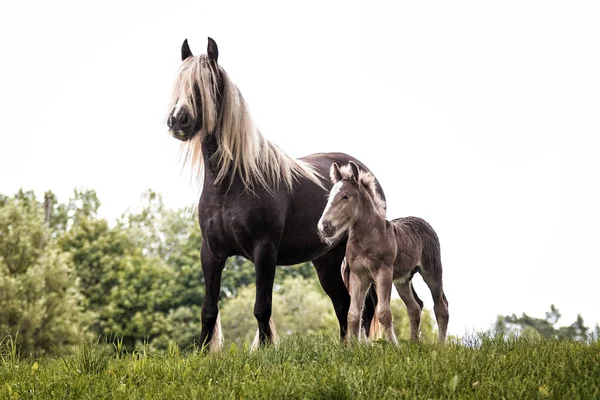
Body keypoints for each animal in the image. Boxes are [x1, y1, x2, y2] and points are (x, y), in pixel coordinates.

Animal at [166, 37, 386, 350]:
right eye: (179, 83)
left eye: (205, 82)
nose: (178, 120)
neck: (230, 184)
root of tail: (363, 173)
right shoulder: (210, 252)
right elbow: (208, 308)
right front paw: (203, 351)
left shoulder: (264, 250)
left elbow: (262, 307)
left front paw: (266, 349)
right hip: (326, 261)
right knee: (344, 304)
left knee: (364, 307)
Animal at [318, 162, 450, 344]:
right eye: (329, 197)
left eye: (345, 196)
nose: (324, 226)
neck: (367, 239)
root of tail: (425, 223)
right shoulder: (358, 277)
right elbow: (353, 314)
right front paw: (353, 347)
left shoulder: (383, 273)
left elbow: (383, 312)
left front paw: (393, 346)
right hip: (403, 279)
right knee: (415, 307)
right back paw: (414, 344)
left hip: (432, 271)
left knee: (441, 306)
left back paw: (440, 345)